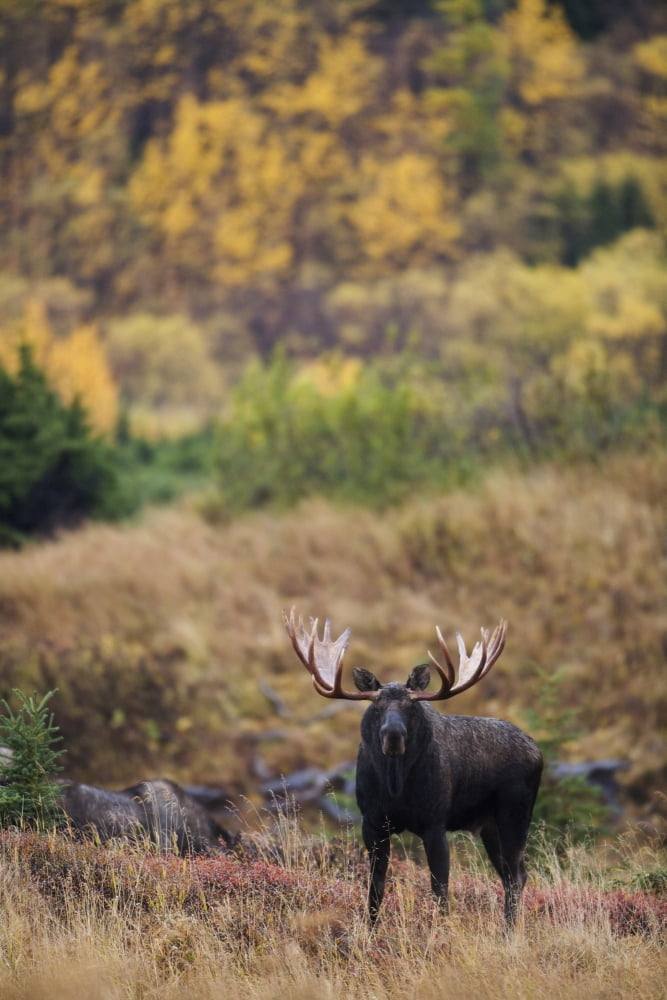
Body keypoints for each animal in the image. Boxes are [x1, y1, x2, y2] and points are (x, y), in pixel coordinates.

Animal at [283, 608, 543, 928]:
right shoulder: (372, 822)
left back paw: (510, 930)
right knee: (512, 874)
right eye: (378, 707)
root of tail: (537, 750)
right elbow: (375, 887)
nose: (393, 736)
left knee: (517, 875)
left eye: (411, 707)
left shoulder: (435, 823)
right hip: (490, 825)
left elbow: (440, 889)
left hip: (515, 815)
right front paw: (371, 931)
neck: (396, 788)